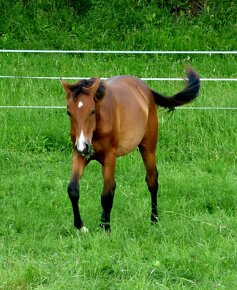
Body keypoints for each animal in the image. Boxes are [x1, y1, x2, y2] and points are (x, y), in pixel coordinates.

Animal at [61, 67, 200, 231]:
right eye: (69, 112)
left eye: (92, 111)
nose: (83, 145)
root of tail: (145, 88)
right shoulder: (80, 154)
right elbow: (73, 189)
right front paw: (80, 227)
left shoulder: (109, 156)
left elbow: (106, 195)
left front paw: (106, 229)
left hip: (148, 148)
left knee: (152, 181)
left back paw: (154, 219)